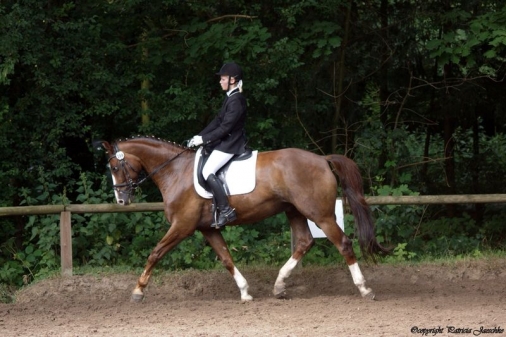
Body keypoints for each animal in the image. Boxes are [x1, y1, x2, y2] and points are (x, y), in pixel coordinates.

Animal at [101, 135, 390, 300]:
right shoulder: (208, 228)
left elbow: (155, 253)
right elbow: (226, 258)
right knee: (304, 243)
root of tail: (321, 158)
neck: (175, 171)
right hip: (294, 211)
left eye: (114, 167)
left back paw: (364, 289)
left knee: (343, 243)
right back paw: (279, 286)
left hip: (320, 213)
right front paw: (245, 292)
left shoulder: (182, 226)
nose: (121, 200)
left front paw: (138, 291)